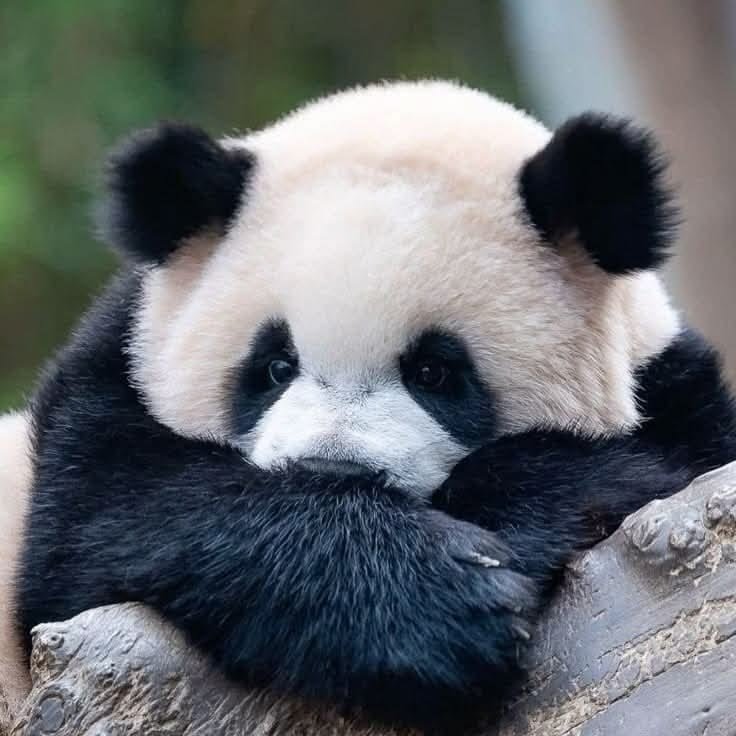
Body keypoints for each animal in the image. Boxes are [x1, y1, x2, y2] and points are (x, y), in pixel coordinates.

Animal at [1, 80, 735, 733]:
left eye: (435, 372)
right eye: (275, 367)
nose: (333, 473)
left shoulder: (676, 394)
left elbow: (654, 466)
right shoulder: (106, 390)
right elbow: (110, 525)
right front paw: (439, 606)